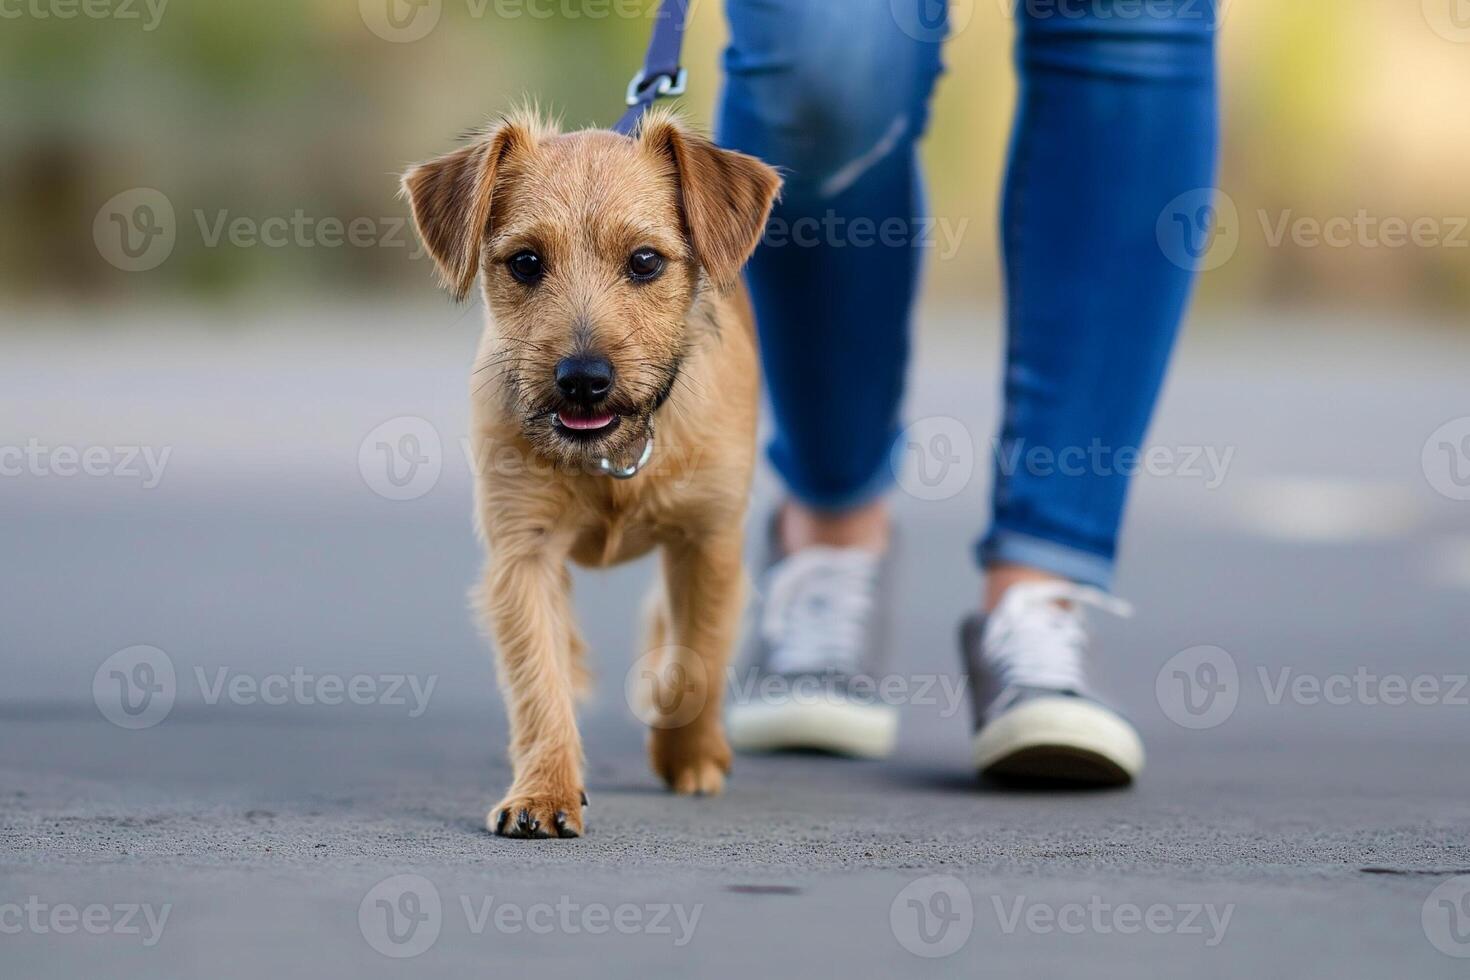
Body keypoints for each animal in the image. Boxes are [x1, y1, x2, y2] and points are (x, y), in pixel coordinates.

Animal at [402, 109, 782, 846]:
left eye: (646, 261)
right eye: (526, 262)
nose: (583, 379)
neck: (614, 458)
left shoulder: (709, 542)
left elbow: (696, 659)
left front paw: (687, 755)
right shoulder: (523, 554)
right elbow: (537, 678)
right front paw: (544, 789)